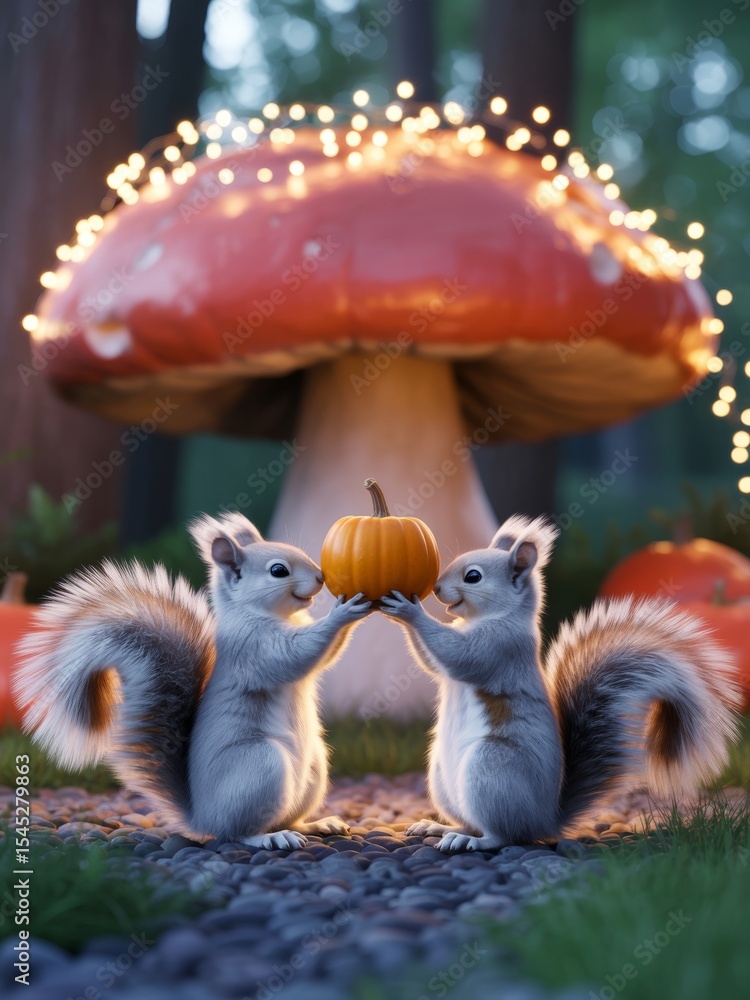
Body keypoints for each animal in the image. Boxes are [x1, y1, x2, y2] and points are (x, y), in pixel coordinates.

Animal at [15, 512, 371, 849]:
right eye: (278, 571)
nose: (321, 577)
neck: (264, 614)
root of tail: (201, 817)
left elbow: (325, 656)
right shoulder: (253, 647)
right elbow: (297, 654)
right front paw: (343, 612)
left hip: (315, 769)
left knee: (286, 818)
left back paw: (316, 824)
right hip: (261, 766)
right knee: (237, 832)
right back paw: (269, 838)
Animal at [380, 515, 742, 852]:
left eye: (473, 576)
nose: (437, 589)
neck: (492, 618)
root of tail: (545, 820)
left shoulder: (501, 648)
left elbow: (457, 655)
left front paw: (410, 610)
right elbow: (432, 661)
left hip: (491, 769)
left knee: (503, 835)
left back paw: (472, 841)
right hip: (441, 777)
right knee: (471, 822)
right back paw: (440, 827)